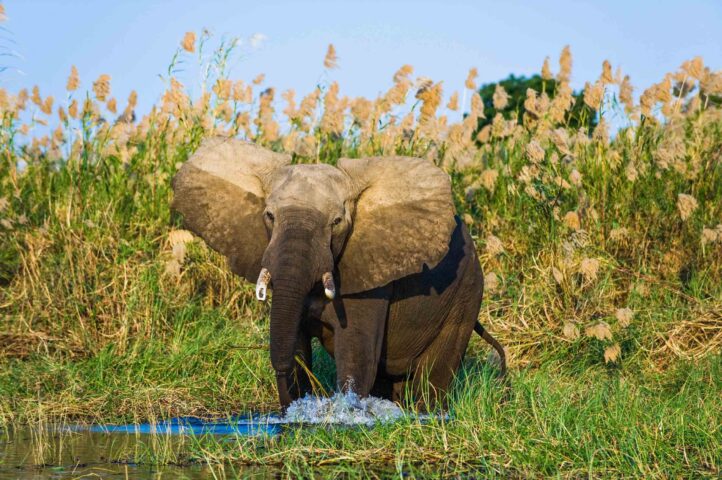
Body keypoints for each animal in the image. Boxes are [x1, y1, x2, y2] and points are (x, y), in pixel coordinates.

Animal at [171, 137, 506, 409]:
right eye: (269, 215)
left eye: (336, 222)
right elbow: (296, 338)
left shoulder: (370, 273)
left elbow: (356, 353)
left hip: (465, 295)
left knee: (434, 376)